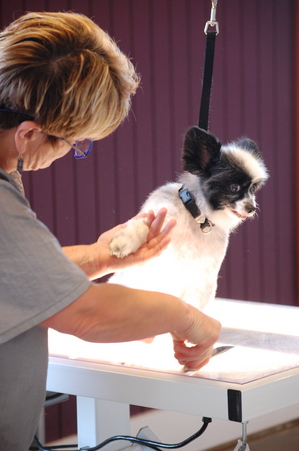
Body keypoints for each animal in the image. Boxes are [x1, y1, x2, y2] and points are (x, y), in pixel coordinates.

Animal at [109, 127, 270, 310]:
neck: (196, 218)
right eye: (234, 187)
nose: (252, 208)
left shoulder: (203, 276)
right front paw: (123, 242)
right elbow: (143, 225)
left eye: (253, 188)